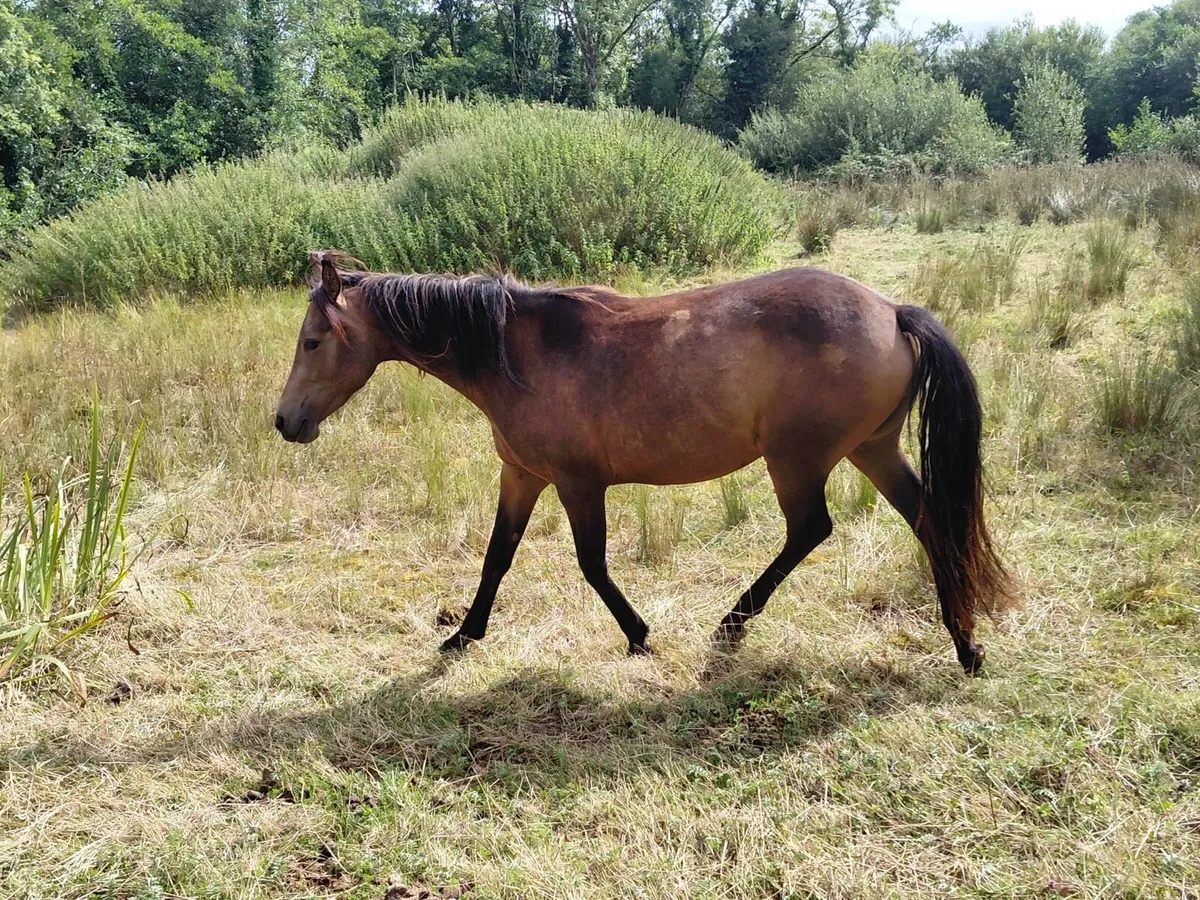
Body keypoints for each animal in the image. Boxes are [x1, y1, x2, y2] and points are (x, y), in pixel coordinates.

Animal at [275, 251, 1012, 673]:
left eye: (312, 341)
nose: (285, 422)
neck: (515, 353)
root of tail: (892, 312)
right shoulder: (523, 475)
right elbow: (497, 558)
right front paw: (464, 635)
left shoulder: (577, 484)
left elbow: (592, 565)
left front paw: (640, 635)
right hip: (872, 449)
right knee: (930, 521)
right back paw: (966, 645)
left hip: (798, 460)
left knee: (811, 530)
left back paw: (731, 625)